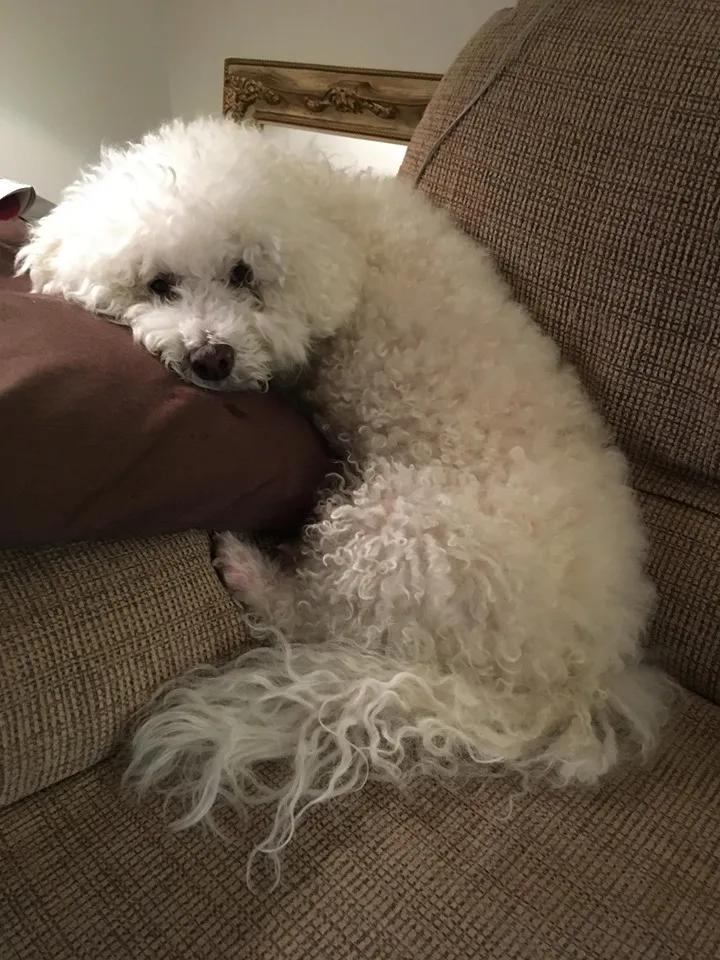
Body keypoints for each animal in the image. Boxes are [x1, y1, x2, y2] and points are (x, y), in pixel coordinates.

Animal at [15, 116, 668, 872]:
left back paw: (246, 566)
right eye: (159, 283)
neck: (327, 217)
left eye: (243, 274)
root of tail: (577, 674)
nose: (212, 359)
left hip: (392, 533)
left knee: (312, 619)